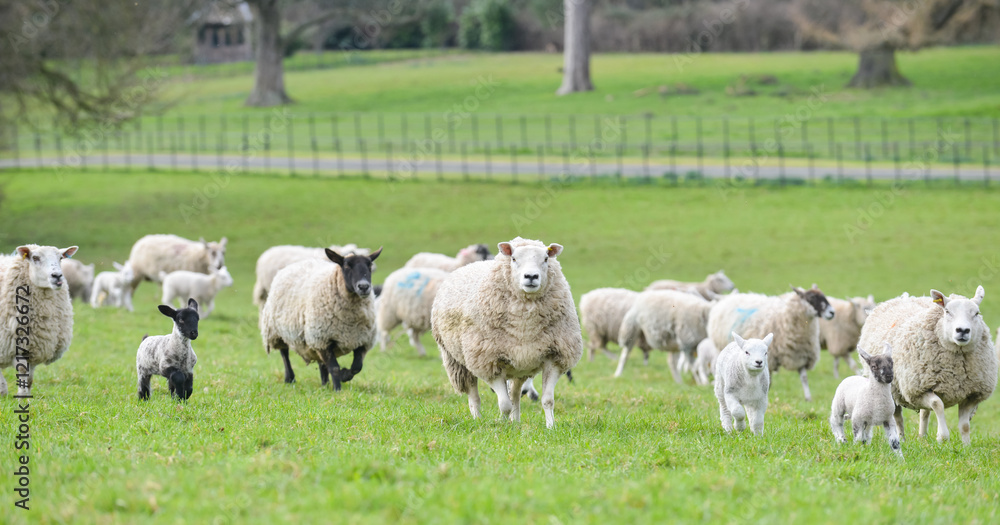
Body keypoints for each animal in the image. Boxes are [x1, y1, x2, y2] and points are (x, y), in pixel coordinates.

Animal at [0, 244, 77, 397]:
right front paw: (19, 397)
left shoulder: (35, 347)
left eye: (61, 258)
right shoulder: (13, 346)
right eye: (35, 258)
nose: (57, 276)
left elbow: (29, 380)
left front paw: (26, 398)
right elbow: (21, 372)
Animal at [260, 247, 382, 391]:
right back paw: (290, 378)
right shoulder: (323, 339)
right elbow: (334, 368)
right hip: (277, 331)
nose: (363, 287)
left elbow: (357, 367)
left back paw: (325, 384)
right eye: (346, 266)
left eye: (370, 265)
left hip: (314, 339)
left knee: (321, 363)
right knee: (284, 353)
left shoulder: (362, 340)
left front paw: (344, 375)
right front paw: (338, 389)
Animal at [431, 237, 582, 429]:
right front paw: (501, 426)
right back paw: (478, 419)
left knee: (515, 394)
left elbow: (547, 400)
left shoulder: (555, 357)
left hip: (520, 366)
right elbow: (504, 404)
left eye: (546, 259)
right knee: (474, 396)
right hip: (459, 361)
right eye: (514, 259)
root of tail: (471, 264)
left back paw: (515, 422)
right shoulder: (489, 361)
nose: (531, 277)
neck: (525, 324)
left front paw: (551, 427)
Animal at [857, 287, 997, 445]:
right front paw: (943, 436)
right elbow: (938, 404)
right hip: (895, 389)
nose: (962, 330)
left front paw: (966, 445)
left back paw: (922, 437)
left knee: (924, 412)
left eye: (976, 313)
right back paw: (901, 438)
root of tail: (903, 298)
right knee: (898, 416)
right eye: (947, 311)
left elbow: (965, 425)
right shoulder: (918, 390)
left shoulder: (971, 395)